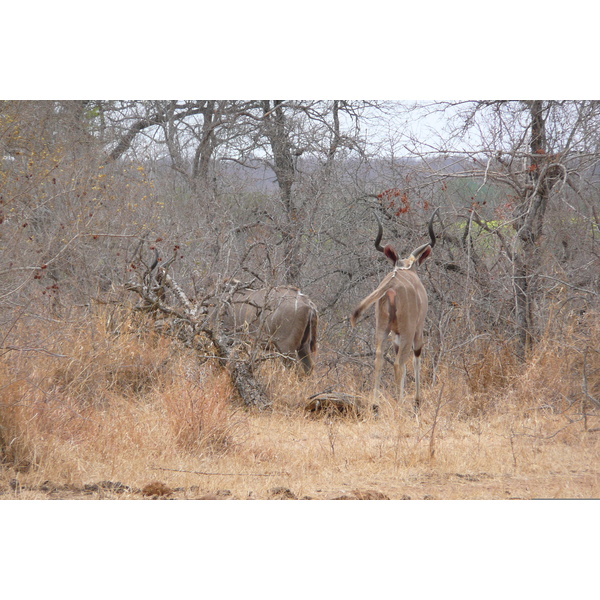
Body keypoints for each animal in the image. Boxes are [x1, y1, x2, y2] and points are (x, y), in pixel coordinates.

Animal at [350, 209, 438, 410]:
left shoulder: (394, 334)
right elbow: (415, 357)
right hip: (407, 330)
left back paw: (375, 405)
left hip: (382, 328)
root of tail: (391, 285)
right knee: (399, 363)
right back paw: (400, 405)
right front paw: (417, 401)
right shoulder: (417, 329)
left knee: (379, 358)